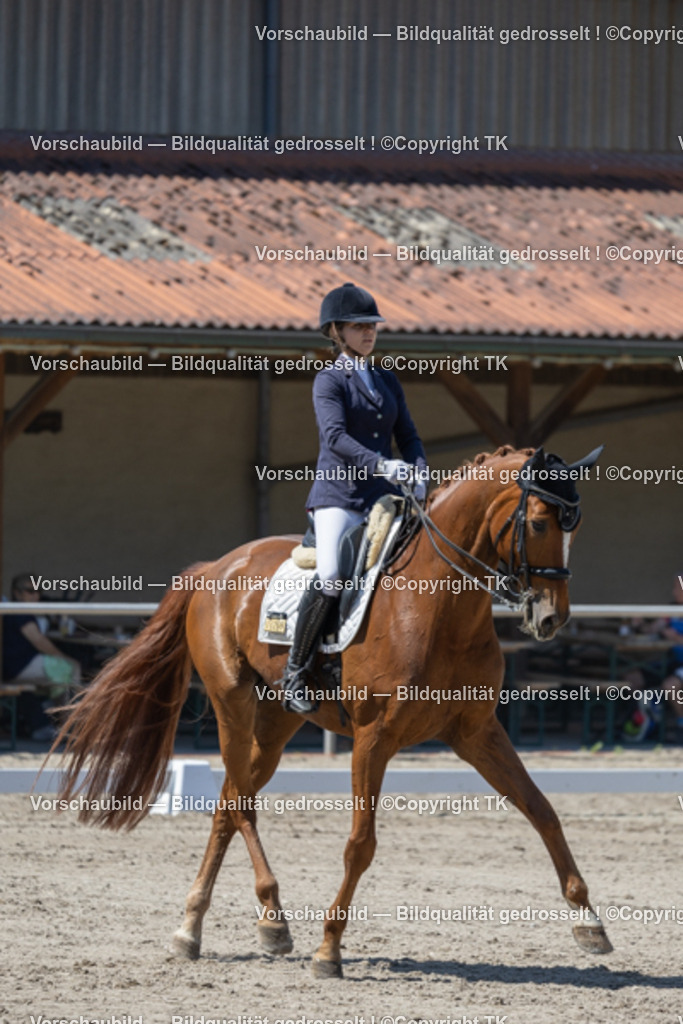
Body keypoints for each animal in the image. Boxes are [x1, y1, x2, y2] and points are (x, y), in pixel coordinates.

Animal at [52, 443, 612, 978]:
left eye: (576, 527)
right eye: (537, 523)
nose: (551, 618)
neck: (439, 608)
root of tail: (215, 568)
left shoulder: (476, 732)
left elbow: (543, 811)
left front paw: (589, 923)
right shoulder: (374, 738)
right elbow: (360, 844)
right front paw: (329, 950)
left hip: (276, 722)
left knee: (229, 800)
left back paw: (194, 929)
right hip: (232, 701)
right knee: (242, 803)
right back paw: (272, 922)